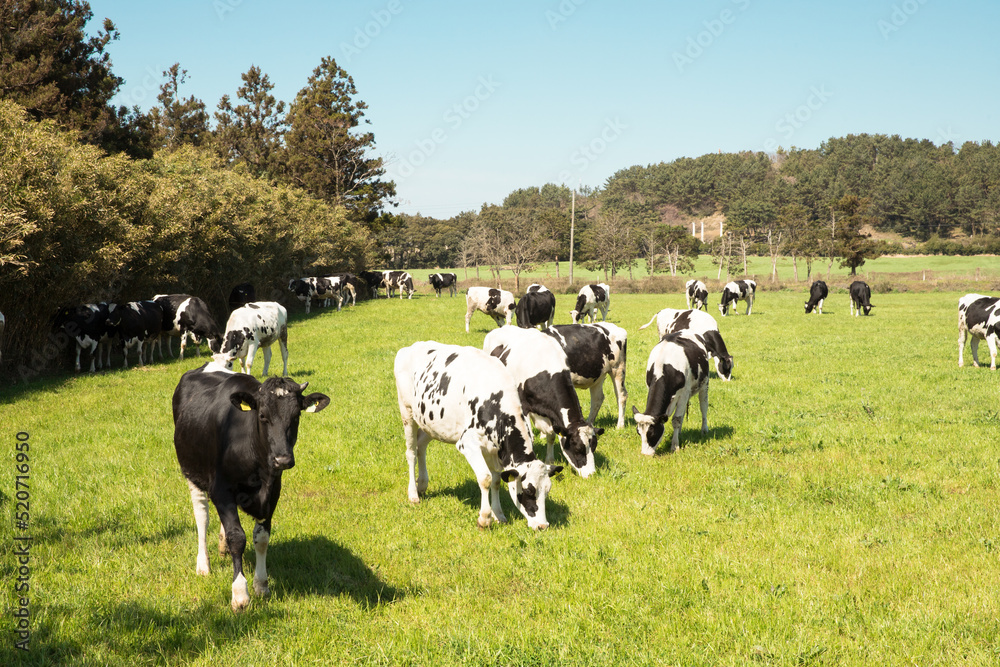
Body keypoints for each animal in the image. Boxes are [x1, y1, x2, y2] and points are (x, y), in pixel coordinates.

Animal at [171, 360, 328, 612]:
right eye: (262, 415)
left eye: (296, 416)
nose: (283, 459)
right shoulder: (221, 491)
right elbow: (237, 537)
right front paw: (240, 594)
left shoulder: (272, 493)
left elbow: (261, 538)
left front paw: (261, 585)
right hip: (191, 471)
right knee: (202, 516)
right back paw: (203, 564)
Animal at [392, 342, 564, 528]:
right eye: (528, 491)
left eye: (547, 490)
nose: (542, 525)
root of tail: (409, 347)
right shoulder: (468, 443)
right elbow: (485, 478)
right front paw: (485, 518)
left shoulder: (493, 449)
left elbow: (496, 480)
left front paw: (499, 515)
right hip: (407, 413)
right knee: (411, 453)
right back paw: (413, 494)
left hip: (432, 422)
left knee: (421, 446)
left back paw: (422, 485)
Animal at [484, 328, 600, 474]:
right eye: (578, 448)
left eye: (594, 446)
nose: (591, 474)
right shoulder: (523, 406)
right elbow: (529, 437)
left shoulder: (551, 414)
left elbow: (551, 435)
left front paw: (549, 460)